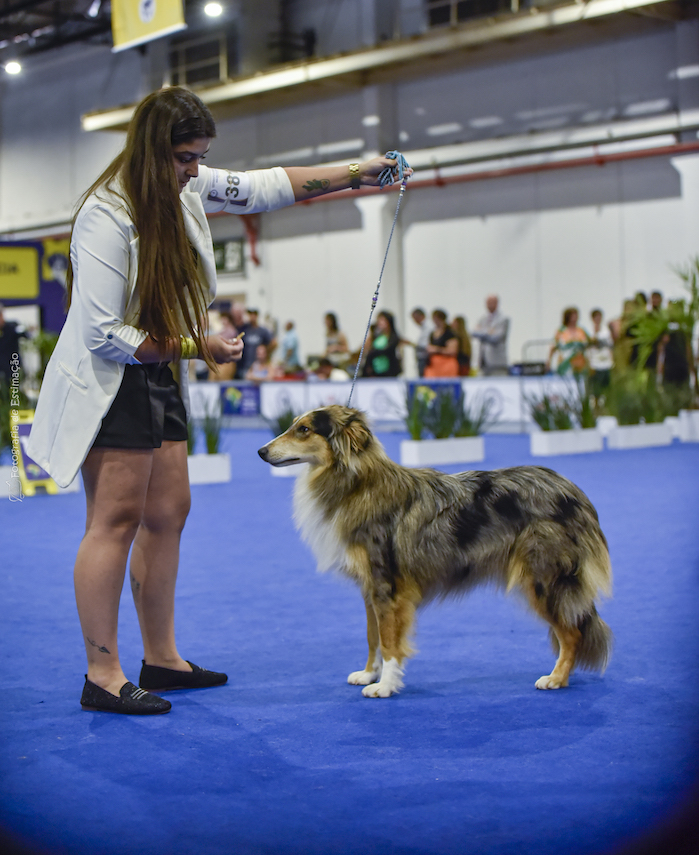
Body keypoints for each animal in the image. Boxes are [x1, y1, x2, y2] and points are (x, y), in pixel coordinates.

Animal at [258, 405, 612, 698]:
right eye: (293, 425)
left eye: (304, 429)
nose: (261, 451)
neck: (356, 483)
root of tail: (575, 493)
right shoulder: (370, 588)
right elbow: (373, 636)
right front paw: (369, 674)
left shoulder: (388, 587)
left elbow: (389, 641)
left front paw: (385, 685)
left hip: (543, 578)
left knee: (573, 632)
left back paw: (556, 678)